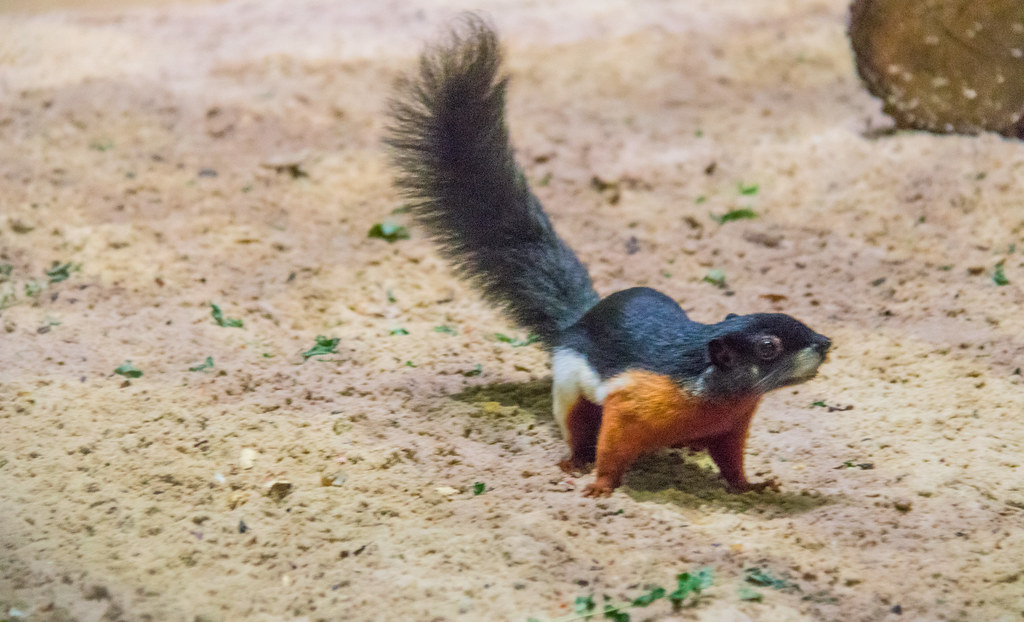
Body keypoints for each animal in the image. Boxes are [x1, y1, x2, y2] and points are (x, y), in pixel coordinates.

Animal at [385, 16, 832, 497]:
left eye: (798, 322)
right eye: (768, 348)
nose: (825, 343)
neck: (712, 390)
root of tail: (580, 317)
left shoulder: (733, 424)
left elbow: (731, 461)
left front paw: (751, 486)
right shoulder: (633, 402)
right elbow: (613, 444)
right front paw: (600, 486)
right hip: (569, 386)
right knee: (577, 424)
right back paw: (573, 460)